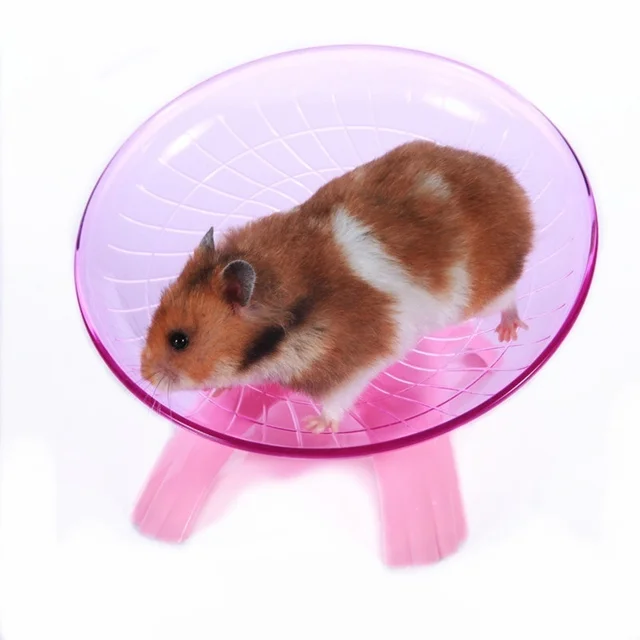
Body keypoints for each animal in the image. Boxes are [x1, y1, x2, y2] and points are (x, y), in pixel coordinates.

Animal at [141, 140, 534, 433]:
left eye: (179, 340)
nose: (144, 376)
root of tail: (516, 190)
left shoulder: (354, 367)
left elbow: (337, 400)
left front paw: (314, 427)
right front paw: (220, 391)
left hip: (484, 294)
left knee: (510, 297)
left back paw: (510, 332)